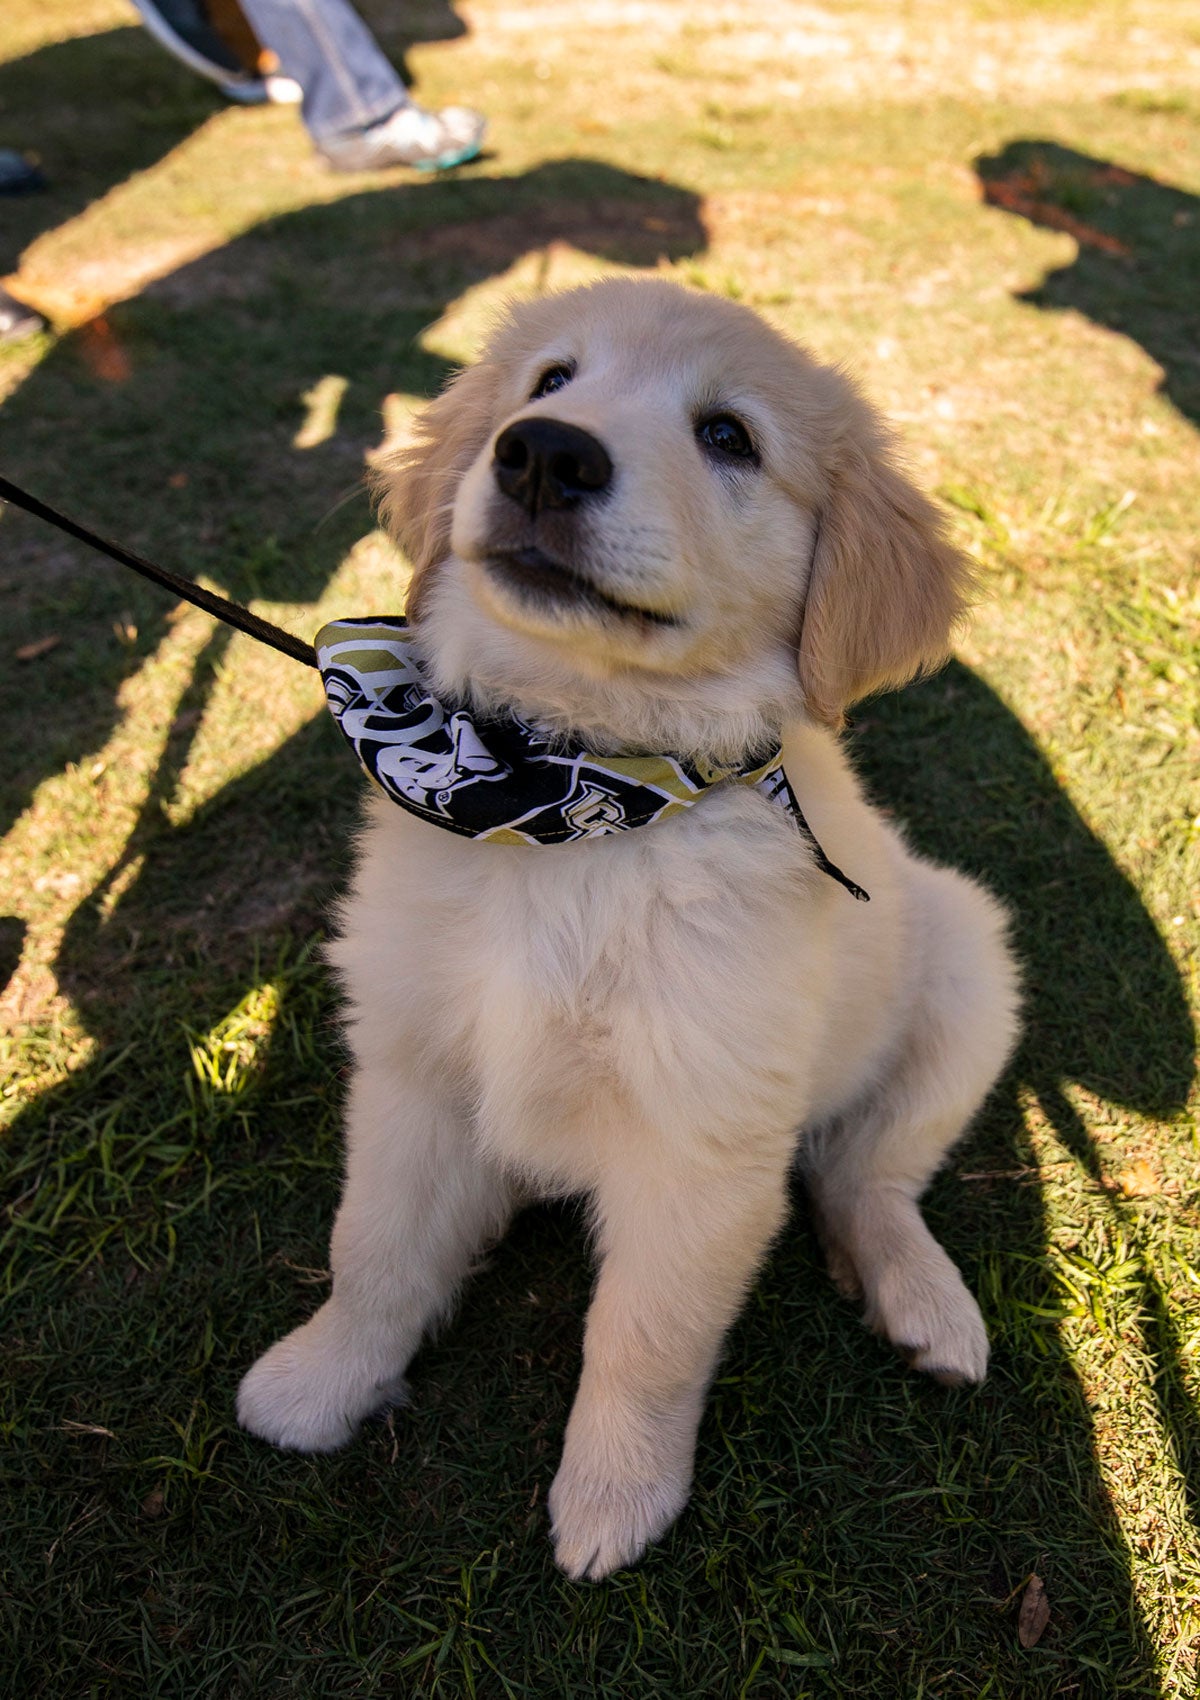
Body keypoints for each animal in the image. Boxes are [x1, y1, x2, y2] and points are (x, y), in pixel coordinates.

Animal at [236, 275, 1019, 1577]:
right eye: (550, 379)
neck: (574, 794)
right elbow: (377, 1250)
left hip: (971, 958)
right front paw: (321, 1377)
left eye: (730, 437)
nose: (545, 453)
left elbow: (645, 1339)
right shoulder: (413, 1073)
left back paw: (921, 1299)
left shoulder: (701, 1145)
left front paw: (614, 1496)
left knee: (867, 1173)